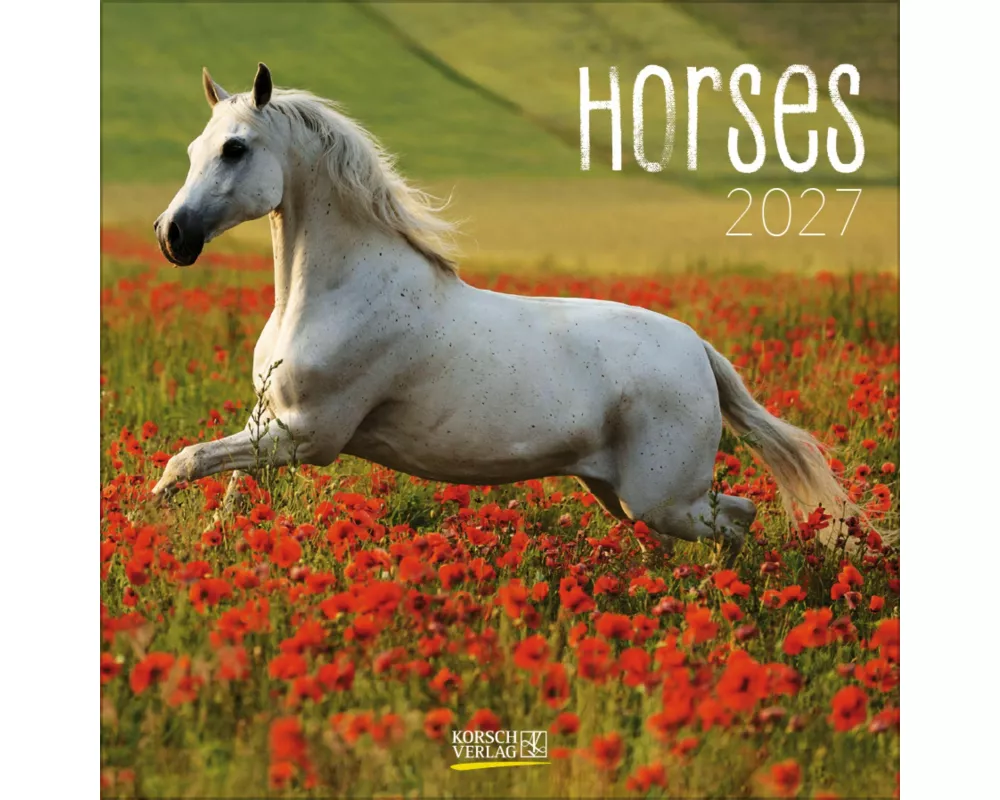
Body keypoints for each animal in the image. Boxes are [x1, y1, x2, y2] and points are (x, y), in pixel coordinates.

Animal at [152, 63, 859, 562]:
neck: (336, 293)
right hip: (624, 495)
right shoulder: (267, 425)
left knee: (741, 519)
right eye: (190, 149)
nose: (171, 235)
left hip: (663, 496)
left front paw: (152, 509)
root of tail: (700, 350)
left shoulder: (309, 435)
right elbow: (227, 489)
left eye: (236, 148)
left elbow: (186, 460)